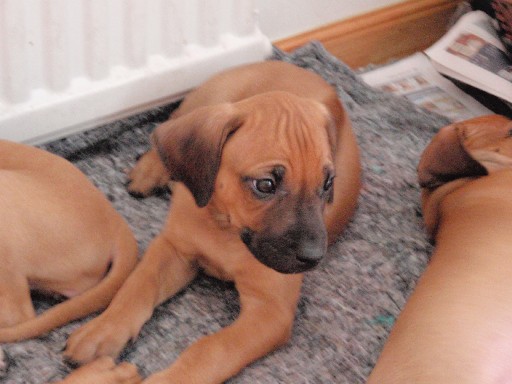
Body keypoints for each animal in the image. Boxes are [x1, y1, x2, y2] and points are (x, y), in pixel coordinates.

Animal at [64, 61, 360, 382]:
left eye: (328, 183)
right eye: (265, 185)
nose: (314, 257)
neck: (224, 228)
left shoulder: (271, 311)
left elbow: (212, 348)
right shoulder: (174, 249)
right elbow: (137, 286)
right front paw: (102, 330)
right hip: (213, 96)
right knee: (166, 128)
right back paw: (151, 170)